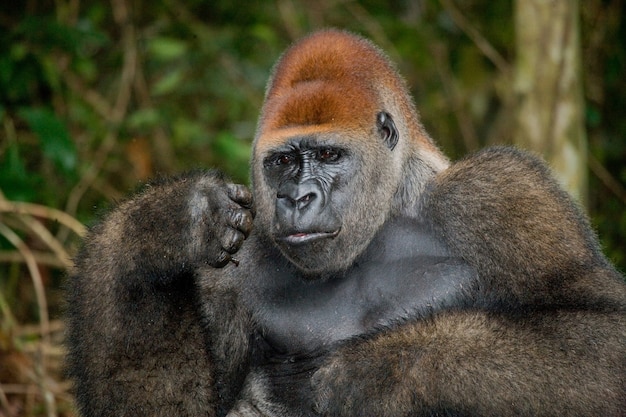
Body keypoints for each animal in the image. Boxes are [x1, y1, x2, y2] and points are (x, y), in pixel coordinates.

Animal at [64, 29, 624, 416]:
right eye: (283, 162)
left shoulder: (503, 191)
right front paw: (164, 225)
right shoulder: (232, 263)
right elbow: (167, 405)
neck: (389, 207)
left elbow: (604, 336)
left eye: (330, 154)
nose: (297, 198)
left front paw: (381, 371)